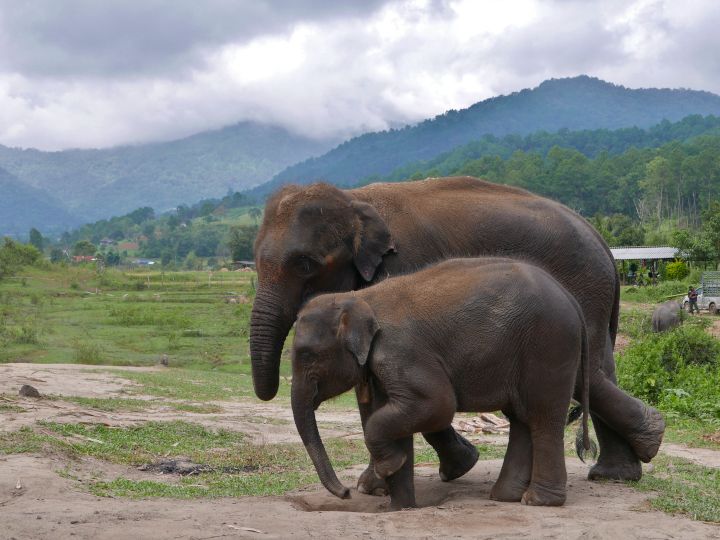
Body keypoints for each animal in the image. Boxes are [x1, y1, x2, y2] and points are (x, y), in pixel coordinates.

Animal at [291, 258, 590, 510]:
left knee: (542, 417)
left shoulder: (401, 351)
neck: (360, 298)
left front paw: (387, 470)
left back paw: (537, 501)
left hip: (549, 345)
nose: (345, 493)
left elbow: (437, 404)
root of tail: (572, 300)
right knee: (521, 418)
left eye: (307, 355)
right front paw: (401, 504)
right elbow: (393, 412)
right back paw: (505, 496)